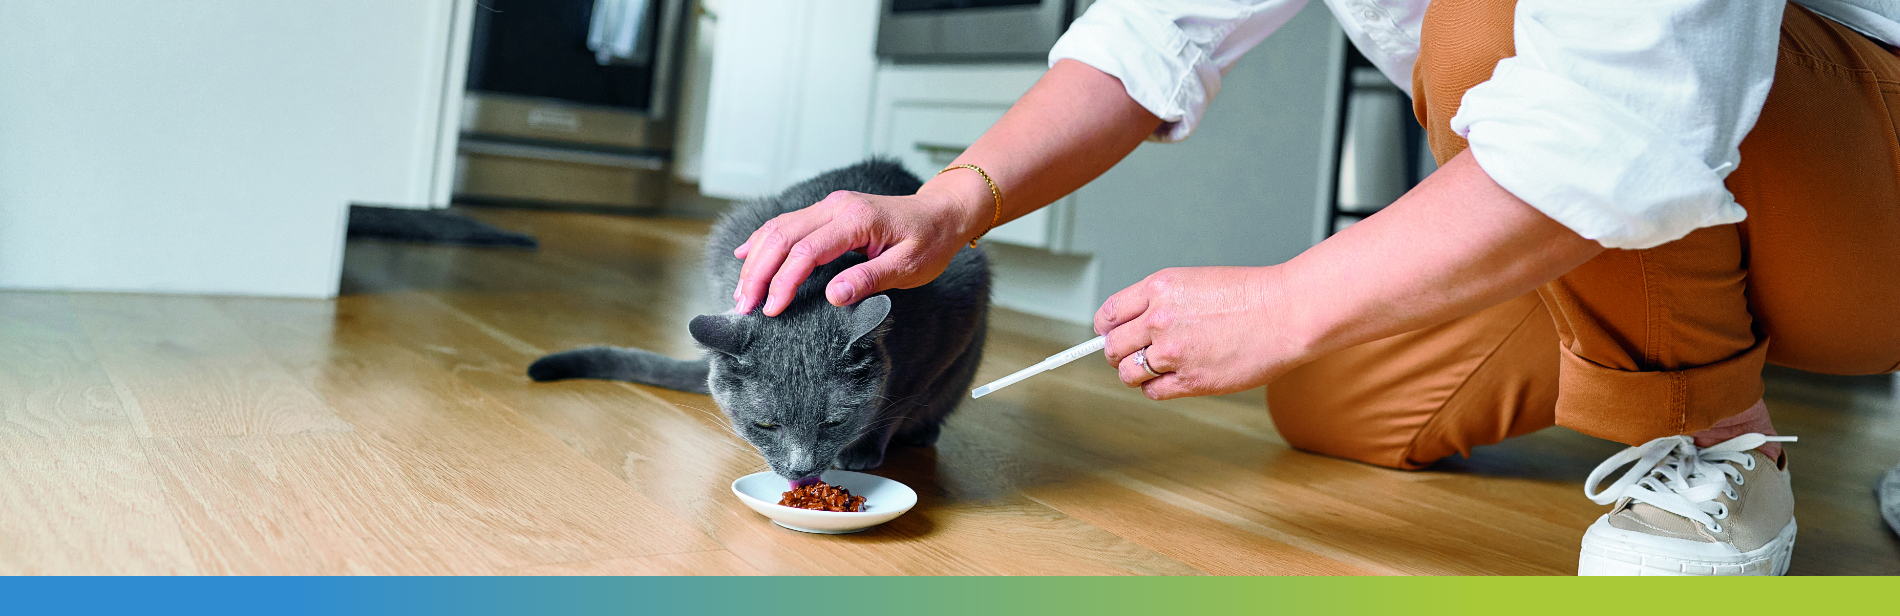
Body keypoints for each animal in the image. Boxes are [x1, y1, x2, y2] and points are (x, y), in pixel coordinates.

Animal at [524, 161, 995, 482]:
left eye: (833, 422)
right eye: (766, 424)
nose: (801, 469)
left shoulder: (954, 318)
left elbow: (899, 400)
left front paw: (864, 450)